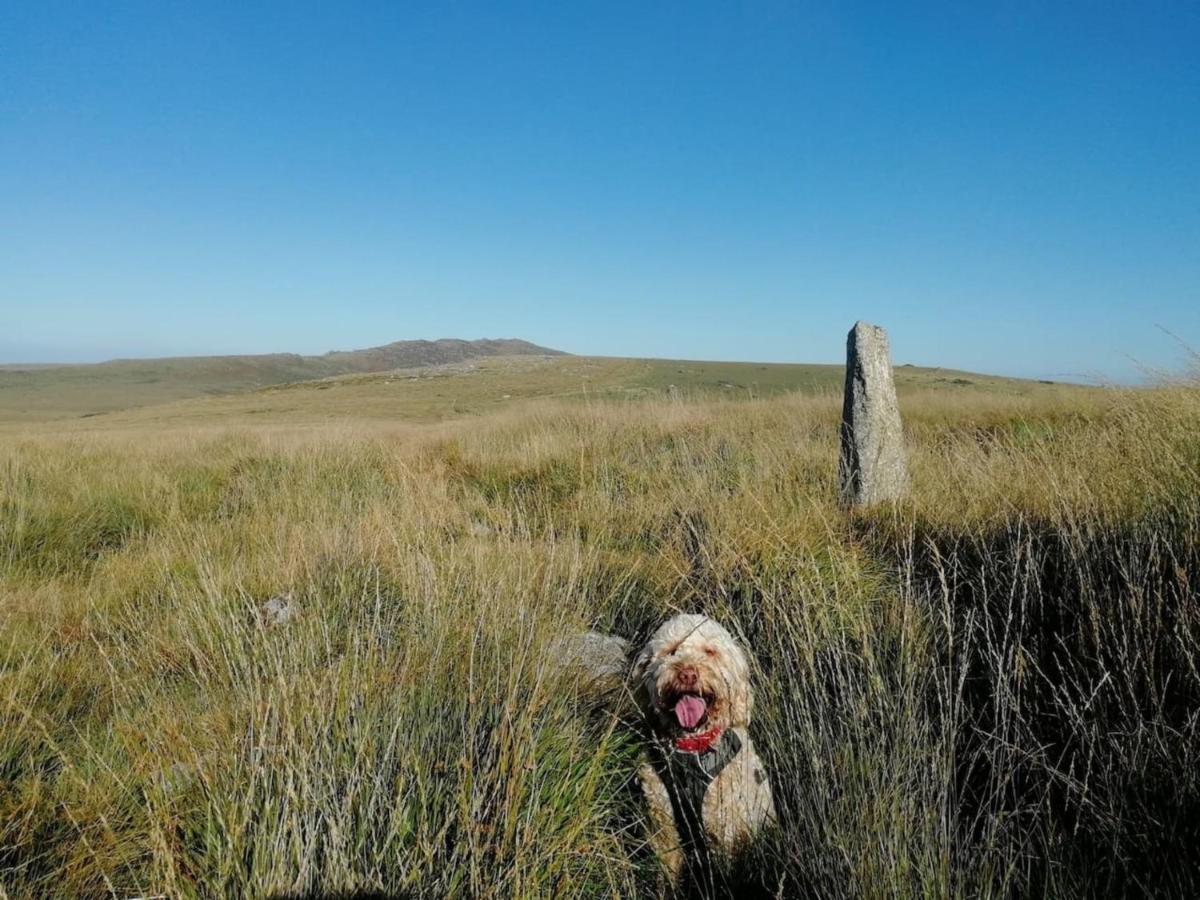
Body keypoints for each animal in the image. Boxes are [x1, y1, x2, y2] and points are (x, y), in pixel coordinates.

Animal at [628, 614, 777, 888]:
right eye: (671, 650)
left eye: (710, 651)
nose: (687, 673)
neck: (692, 750)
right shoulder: (663, 826)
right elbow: (666, 871)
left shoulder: (725, 832)